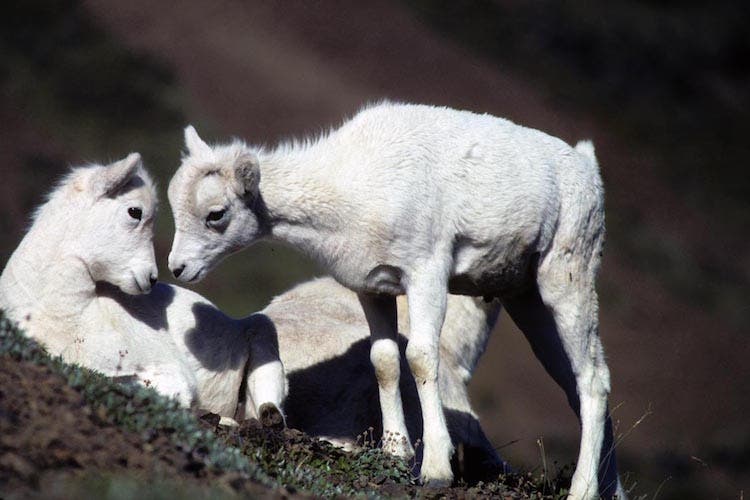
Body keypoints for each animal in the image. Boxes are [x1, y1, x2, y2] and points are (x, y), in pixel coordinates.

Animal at [167, 101, 625, 498]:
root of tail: (587, 167)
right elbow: (384, 361)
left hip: (566, 280)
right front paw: (395, 452)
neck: (355, 186)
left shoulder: (427, 276)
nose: (177, 268)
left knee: (592, 379)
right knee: (575, 384)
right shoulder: (374, 289)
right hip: (526, 300)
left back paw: (582, 491)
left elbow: (420, 358)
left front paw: (435, 470)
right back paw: (612, 491)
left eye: (216, 214)